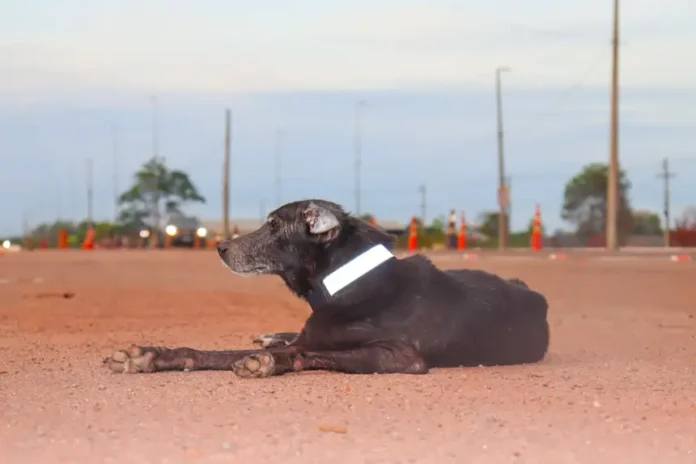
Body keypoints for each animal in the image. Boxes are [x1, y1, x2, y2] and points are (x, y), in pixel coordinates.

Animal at [103, 199, 548, 376]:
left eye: (274, 225)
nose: (221, 247)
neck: (351, 282)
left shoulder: (401, 356)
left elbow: (314, 353)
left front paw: (268, 362)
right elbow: (212, 352)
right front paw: (150, 355)